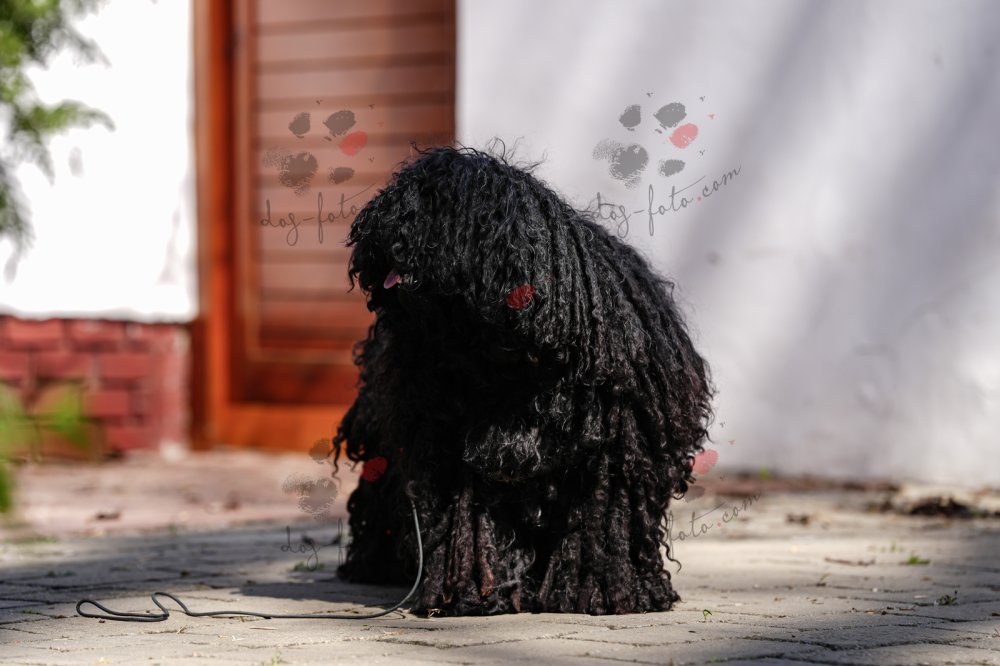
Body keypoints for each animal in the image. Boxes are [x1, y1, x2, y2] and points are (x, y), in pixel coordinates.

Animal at [330, 144, 714, 616]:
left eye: (435, 203)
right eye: (395, 195)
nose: (379, 229)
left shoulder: (615, 451)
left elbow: (607, 516)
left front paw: (606, 592)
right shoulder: (448, 440)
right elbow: (468, 517)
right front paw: (471, 593)